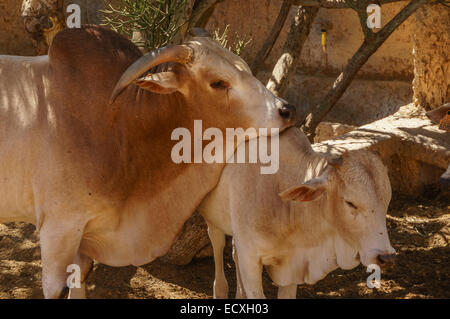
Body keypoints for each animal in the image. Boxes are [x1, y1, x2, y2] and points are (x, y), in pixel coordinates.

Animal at [199, 127, 396, 300]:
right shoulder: (250, 260)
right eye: (350, 203)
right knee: (218, 245)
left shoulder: (293, 267)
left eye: (387, 201)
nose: (385, 257)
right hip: (213, 221)